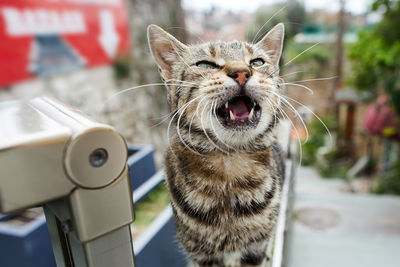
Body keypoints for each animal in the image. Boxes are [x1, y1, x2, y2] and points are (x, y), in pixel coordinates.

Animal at [148, 23, 286, 267]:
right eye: (205, 64)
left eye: (257, 62)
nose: (242, 71)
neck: (230, 166)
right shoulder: (203, 255)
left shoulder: (255, 250)